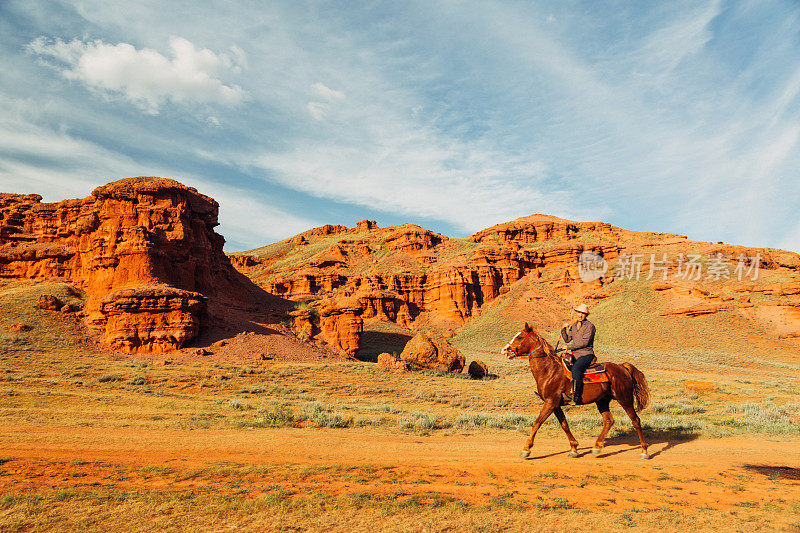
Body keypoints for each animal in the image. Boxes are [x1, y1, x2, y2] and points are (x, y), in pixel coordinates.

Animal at [506, 322, 648, 460]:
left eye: (519, 337)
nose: (506, 350)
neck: (549, 370)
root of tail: (622, 367)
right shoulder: (556, 405)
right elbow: (564, 425)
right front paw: (574, 449)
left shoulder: (550, 402)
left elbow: (537, 423)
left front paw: (526, 449)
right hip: (602, 401)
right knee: (609, 420)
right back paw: (597, 447)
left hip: (625, 399)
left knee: (635, 420)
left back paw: (644, 451)